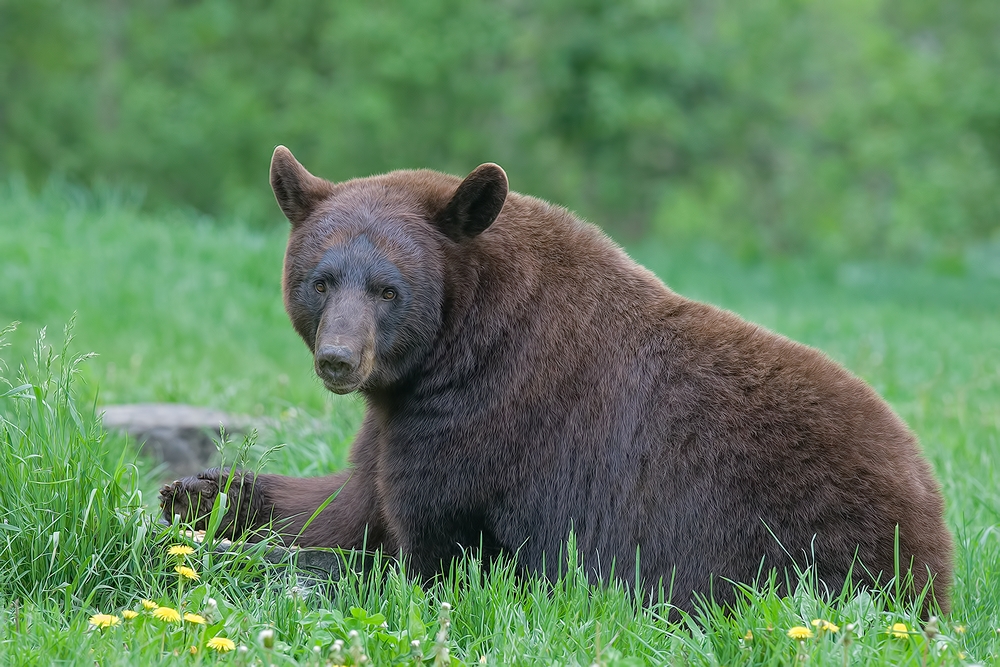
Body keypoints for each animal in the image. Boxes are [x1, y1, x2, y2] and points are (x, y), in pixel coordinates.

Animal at [160, 146, 956, 616]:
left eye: (388, 289)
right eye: (320, 280)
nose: (338, 360)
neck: (456, 347)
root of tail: (935, 539)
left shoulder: (491, 426)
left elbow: (422, 553)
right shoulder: (393, 419)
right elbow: (346, 501)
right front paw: (198, 492)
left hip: (786, 541)